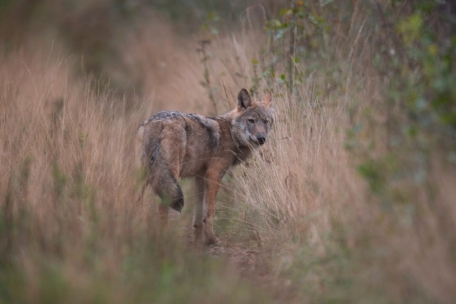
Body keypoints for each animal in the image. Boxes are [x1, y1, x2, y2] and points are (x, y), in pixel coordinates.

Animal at [134, 88, 270, 245]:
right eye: (251, 121)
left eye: (266, 122)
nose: (261, 138)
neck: (231, 133)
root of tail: (157, 121)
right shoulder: (214, 174)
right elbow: (209, 212)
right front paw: (212, 239)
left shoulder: (199, 177)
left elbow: (198, 216)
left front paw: (198, 242)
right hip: (169, 177)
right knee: (162, 207)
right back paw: (164, 239)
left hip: (145, 178)